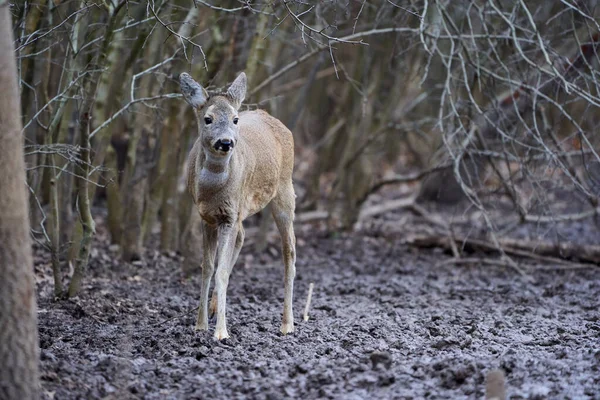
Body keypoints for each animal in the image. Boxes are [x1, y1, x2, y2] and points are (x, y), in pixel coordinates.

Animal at [180, 72, 298, 340]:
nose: (226, 142)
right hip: (243, 209)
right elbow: (208, 268)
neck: (213, 191)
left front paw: (221, 332)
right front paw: (201, 324)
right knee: (243, 237)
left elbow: (221, 270)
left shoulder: (229, 216)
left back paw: (287, 324)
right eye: (208, 119)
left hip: (284, 190)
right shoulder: (208, 217)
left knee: (289, 251)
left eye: (235, 119)